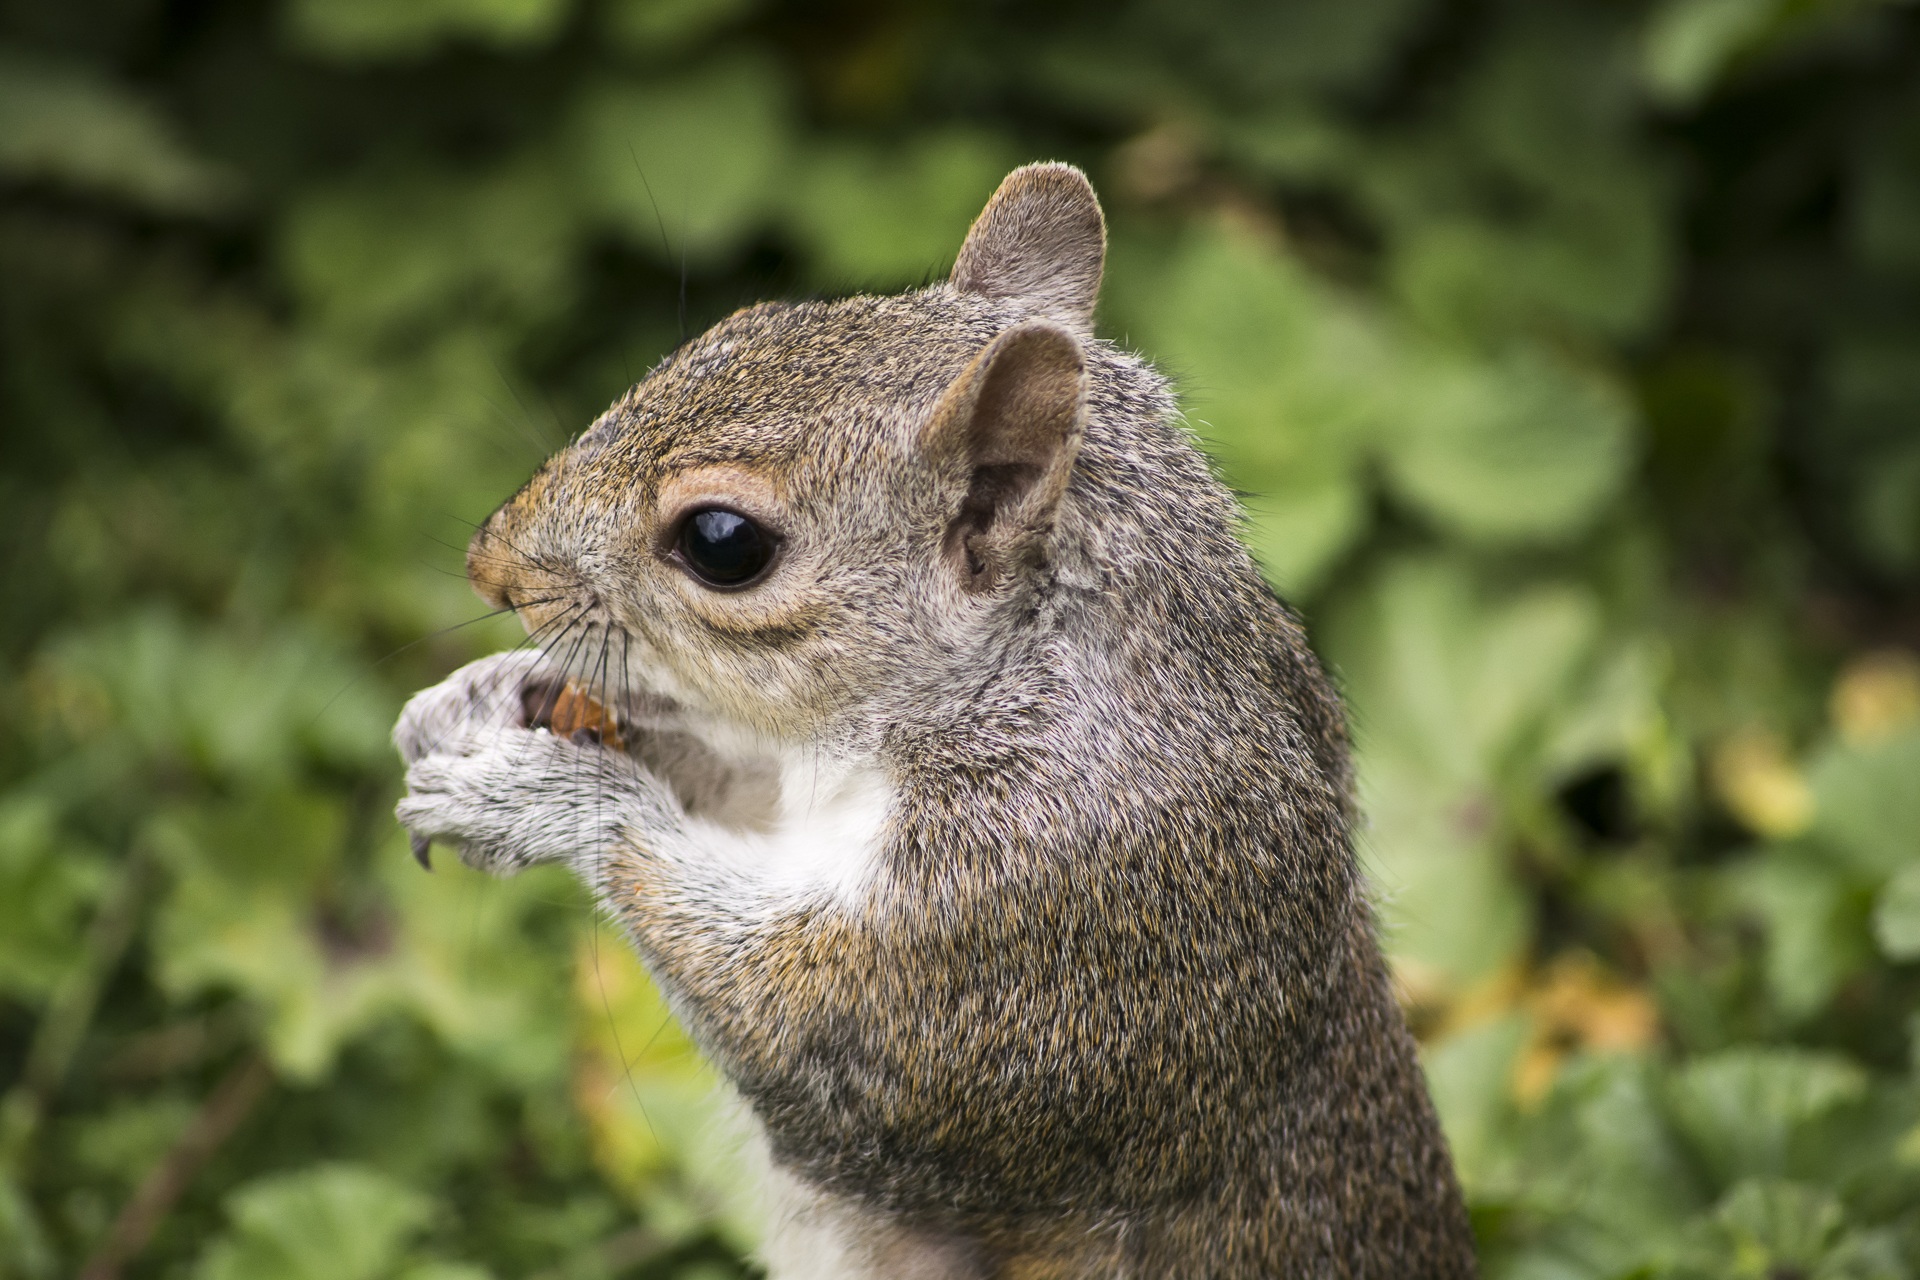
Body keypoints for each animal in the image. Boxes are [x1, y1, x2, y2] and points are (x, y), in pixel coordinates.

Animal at [389, 165, 1466, 1274]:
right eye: (736, 325)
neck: (984, 697)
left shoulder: (1030, 925)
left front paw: (542, 795)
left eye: (723, 541)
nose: (490, 568)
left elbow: (799, 1035)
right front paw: (482, 697)